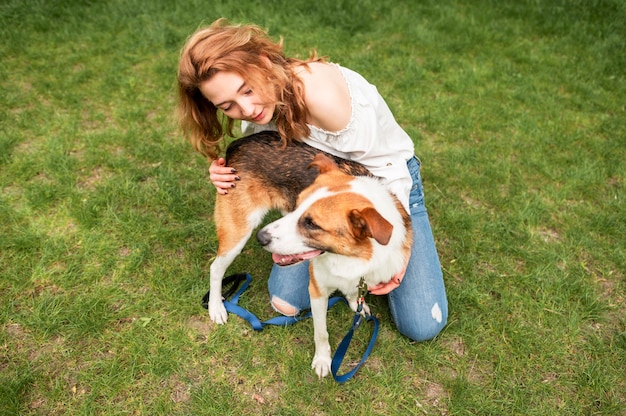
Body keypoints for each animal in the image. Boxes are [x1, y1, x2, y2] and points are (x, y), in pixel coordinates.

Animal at [256, 152, 412, 376]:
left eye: (312, 224)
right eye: (296, 205)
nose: (260, 237)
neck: (348, 257)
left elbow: (355, 293)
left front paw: (357, 305)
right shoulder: (317, 290)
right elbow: (321, 333)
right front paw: (323, 360)